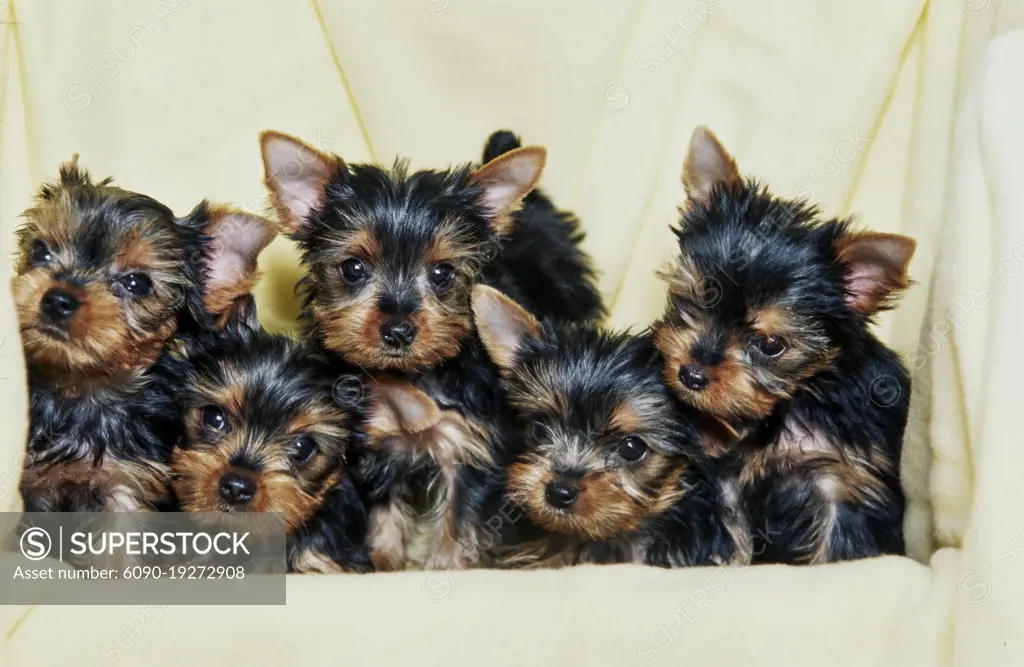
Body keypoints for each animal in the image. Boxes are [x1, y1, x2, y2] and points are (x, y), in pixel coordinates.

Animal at [655, 126, 921, 565]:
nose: (691, 374)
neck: (787, 404)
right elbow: (733, 538)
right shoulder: (725, 480)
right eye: (690, 299)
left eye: (770, 345)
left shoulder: (843, 481)